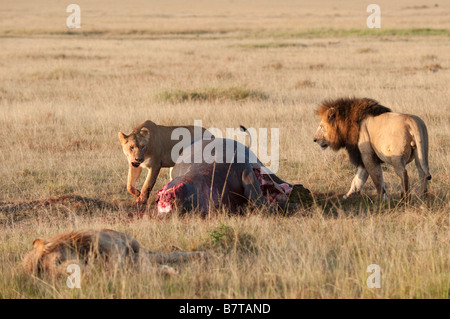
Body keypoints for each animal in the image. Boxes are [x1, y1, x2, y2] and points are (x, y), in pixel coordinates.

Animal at [22, 229, 206, 276]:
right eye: (50, 276)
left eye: (58, 262)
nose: (72, 275)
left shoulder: (114, 245)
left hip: (134, 243)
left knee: (162, 255)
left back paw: (202, 255)